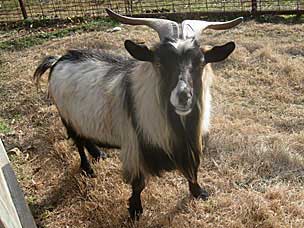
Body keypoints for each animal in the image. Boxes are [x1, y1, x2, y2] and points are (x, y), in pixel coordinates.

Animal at [33, 8, 242, 219]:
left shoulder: (190, 144)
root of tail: (58, 60)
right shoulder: (135, 146)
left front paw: (199, 192)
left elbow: (193, 170)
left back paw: (99, 154)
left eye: (200, 63)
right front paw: (135, 210)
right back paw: (88, 169)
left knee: (85, 137)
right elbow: (138, 184)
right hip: (67, 116)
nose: (183, 96)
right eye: (160, 62)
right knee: (77, 141)